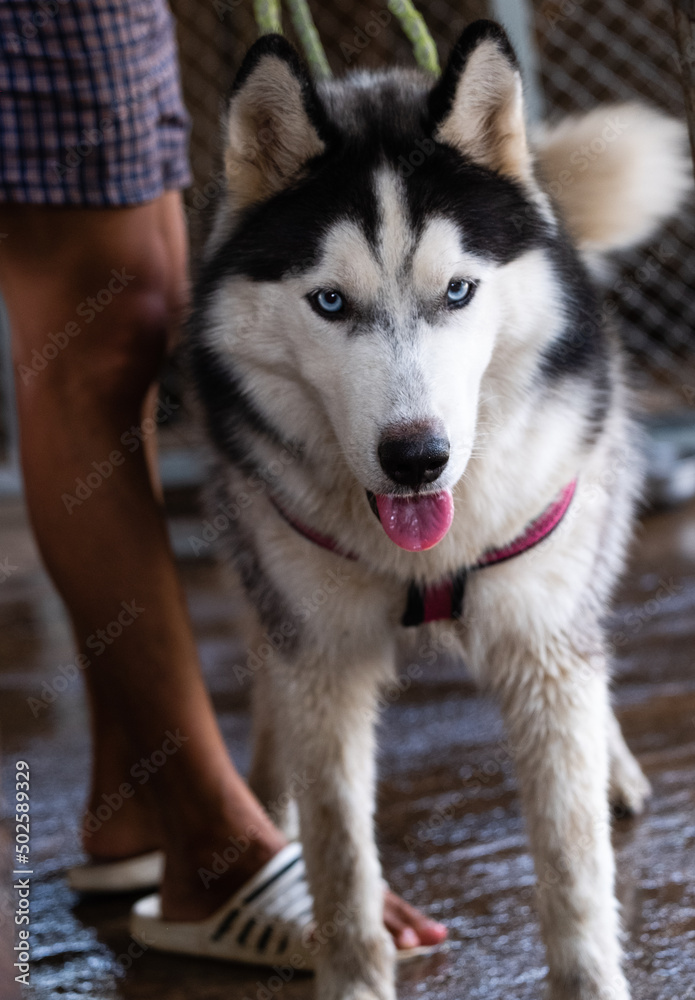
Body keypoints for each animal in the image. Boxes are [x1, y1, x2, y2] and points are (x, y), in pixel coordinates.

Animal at [186, 23, 692, 1000]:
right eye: (329, 302)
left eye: (457, 291)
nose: (415, 458)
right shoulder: (323, 659)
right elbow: (341, 858)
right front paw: (351, 973)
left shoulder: (540, 639)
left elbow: (572, 867)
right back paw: (265, 803)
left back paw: (611, 766)